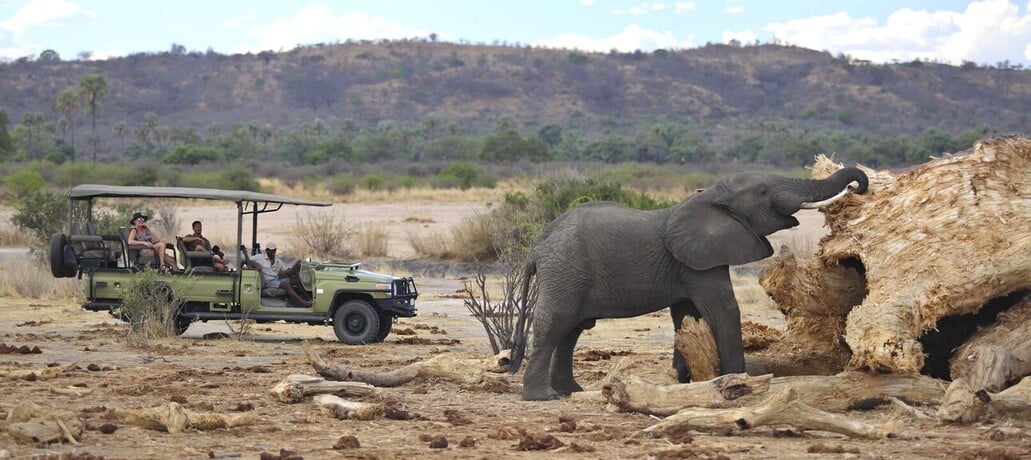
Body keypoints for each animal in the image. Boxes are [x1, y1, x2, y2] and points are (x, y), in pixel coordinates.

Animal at [511, 167, 866, 400]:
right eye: (764, 192)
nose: (857, 187)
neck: (709, 196)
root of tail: (537, 247)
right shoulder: (699, 262)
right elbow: (722, 309)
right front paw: (737, 384)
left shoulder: (689, 264)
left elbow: (685, 316)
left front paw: (685, 381)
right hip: (565, 271)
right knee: (555, 324)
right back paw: (543, 397)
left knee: (571, 331)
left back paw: (570, 391)